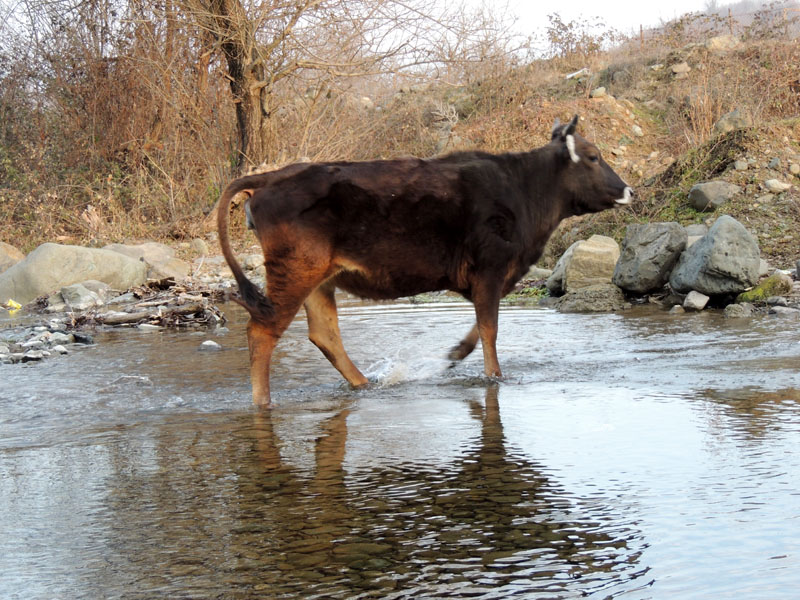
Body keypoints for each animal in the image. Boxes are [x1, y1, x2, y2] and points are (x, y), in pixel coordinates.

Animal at [217, 115, 632, 406]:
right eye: (593, 157)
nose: (628, 190)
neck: (524, 191)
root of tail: (274, 176)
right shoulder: (491, 267)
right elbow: (491, 329)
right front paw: (495, 377)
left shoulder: (487, 277)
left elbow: (478, 328)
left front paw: (453, 355)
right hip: (295, 271)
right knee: (262, 331)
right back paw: (262, 403)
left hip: (321, 279)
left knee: (325, 334)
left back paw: (365, 385)